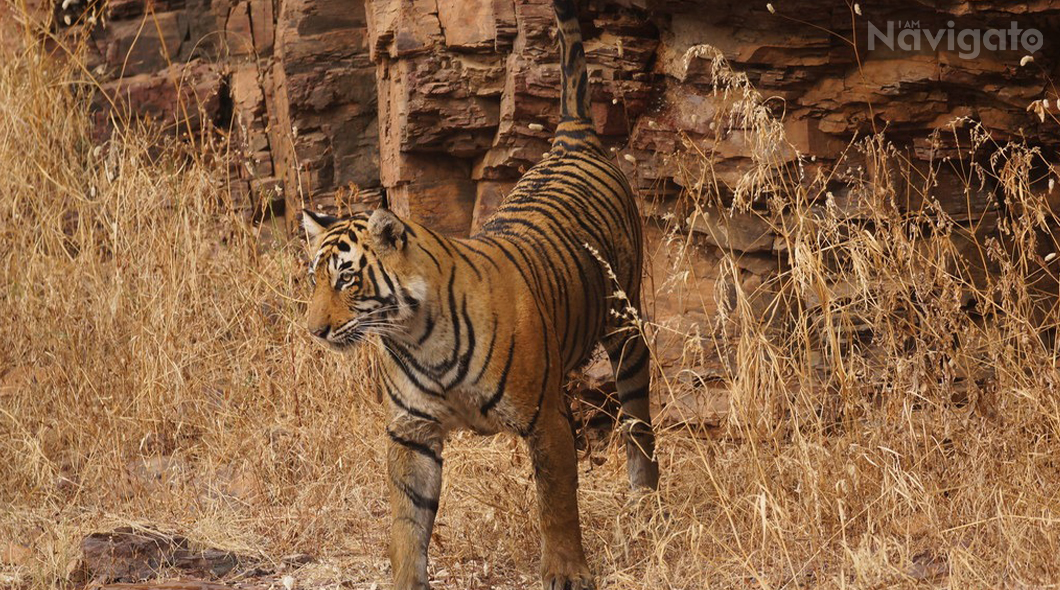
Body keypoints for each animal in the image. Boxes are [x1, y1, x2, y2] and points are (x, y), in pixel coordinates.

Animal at [298, 0, 657, 584]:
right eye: (313, 279)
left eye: (347, 278)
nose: (315, 331)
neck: (415, 337)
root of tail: (573, 136)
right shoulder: (411, 430)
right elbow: (407, 521)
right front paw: (406, 580)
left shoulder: (546, 421)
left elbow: (557, 502)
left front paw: (566, 571)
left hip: (625, 325)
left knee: (637, 416)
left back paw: (646, 498)